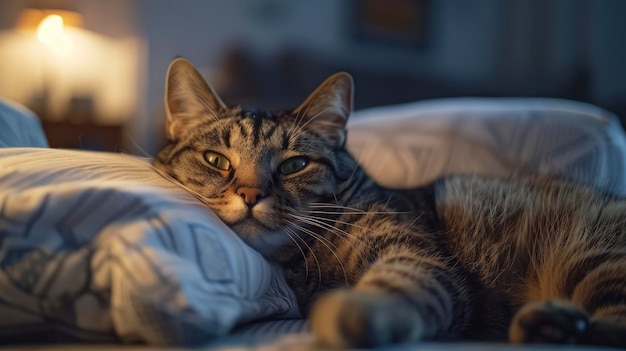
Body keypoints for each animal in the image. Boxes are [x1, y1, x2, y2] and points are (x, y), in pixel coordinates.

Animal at [154, 57, 624, 350]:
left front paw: (348, 312)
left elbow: (399, 284)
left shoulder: (418, 255)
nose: (252, 195)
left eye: (294, 165)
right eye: (216, 160)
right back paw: (553, 326)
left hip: (587, 252)